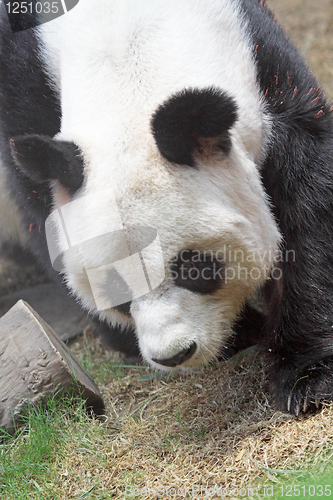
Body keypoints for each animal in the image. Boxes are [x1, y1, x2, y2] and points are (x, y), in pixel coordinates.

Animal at [0, 0, 330, 414]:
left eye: (195, 268)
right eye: (114, 287)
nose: (174, 354)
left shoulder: (260, 57)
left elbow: (306, 194)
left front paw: (305, 374)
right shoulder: (23, 83)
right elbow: (39, 210)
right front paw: (243, 332)